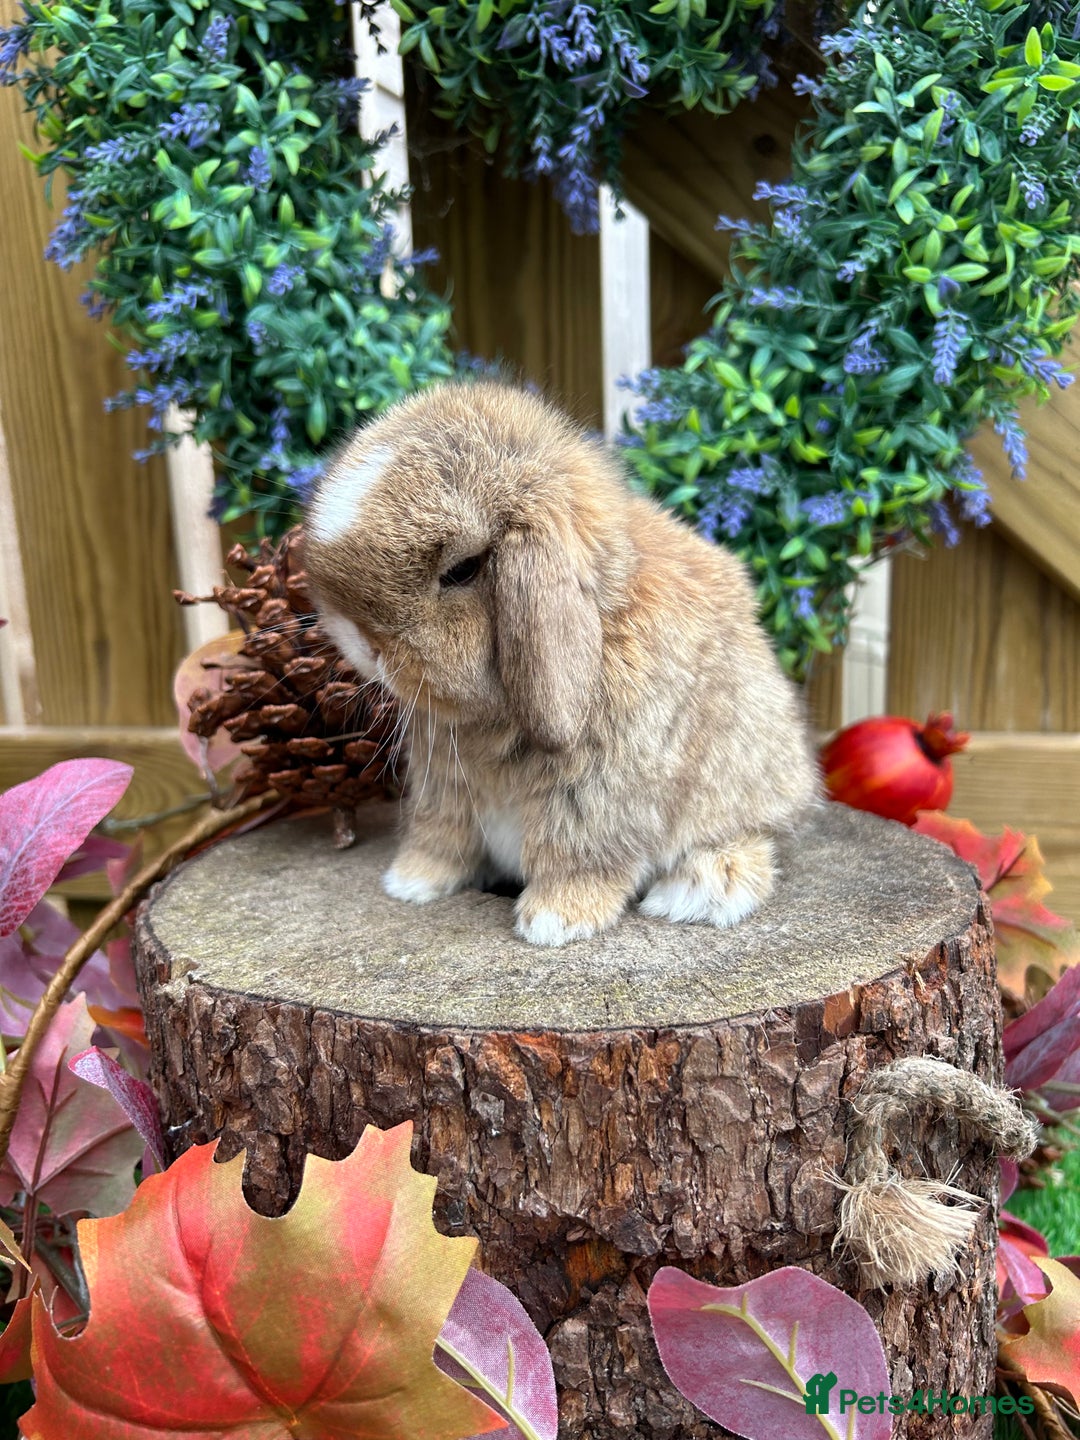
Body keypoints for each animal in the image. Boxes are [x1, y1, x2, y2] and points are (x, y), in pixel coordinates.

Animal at [302, 381, 820, 948]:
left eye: (463, 569)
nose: (360, 641)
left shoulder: (593, 796)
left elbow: (575, 854)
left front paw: (554, 921)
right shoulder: (445, 784)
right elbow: (442, 835)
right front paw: (411, 882)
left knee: (751, 837)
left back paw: (702, 889)